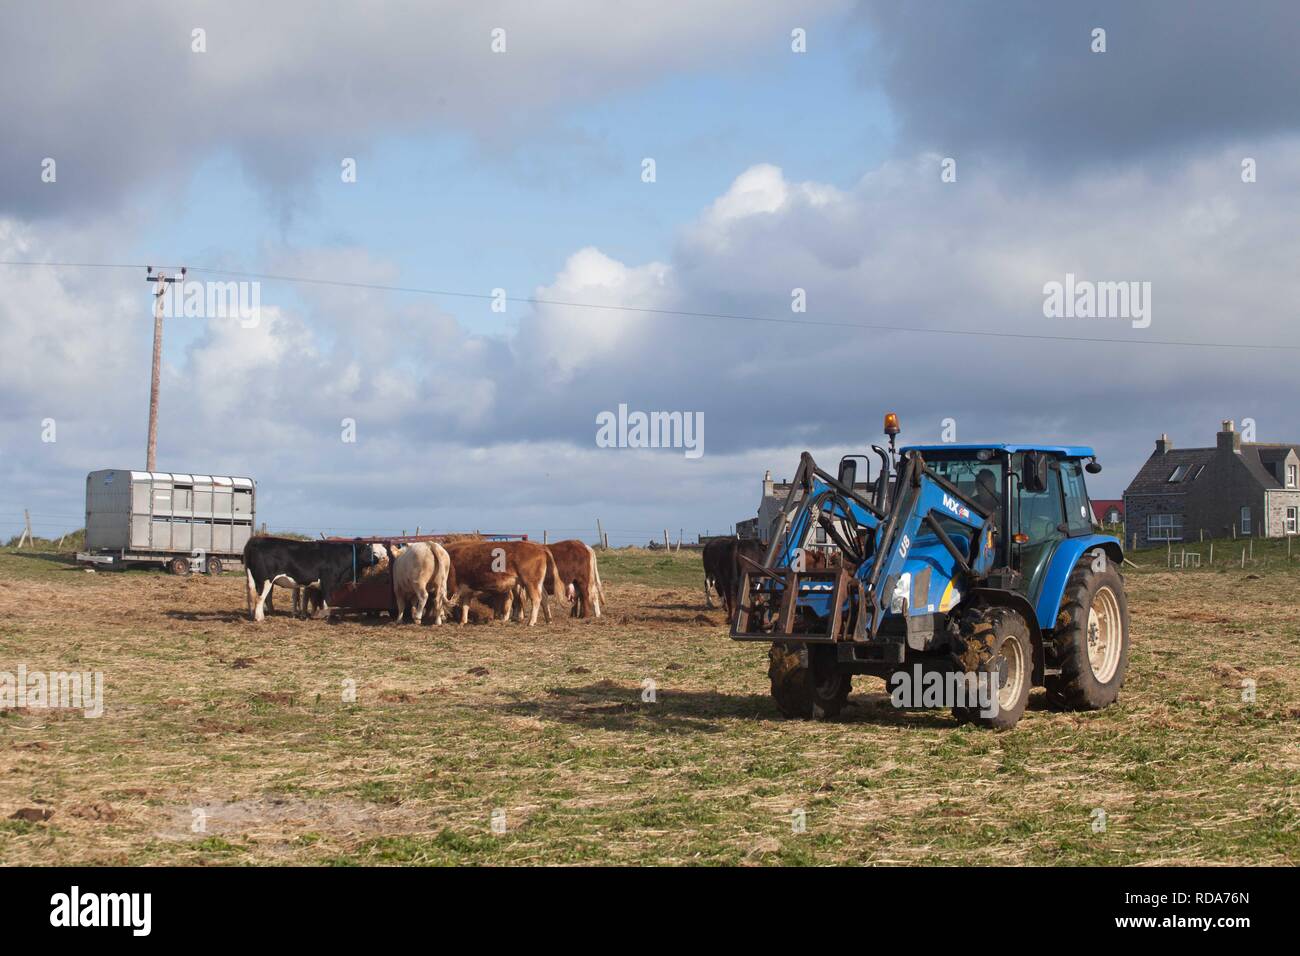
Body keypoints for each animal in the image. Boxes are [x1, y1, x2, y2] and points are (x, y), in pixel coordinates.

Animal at [243, 537, 380, 622]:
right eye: (368, 550)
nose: (377, 559)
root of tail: (256, 539)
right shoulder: (328, 581)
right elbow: (328, 599)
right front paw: (327, 616)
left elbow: (322, 601)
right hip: (264, 580)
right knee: (260, 597)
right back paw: (260, 618)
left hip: (254, 579)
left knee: (259, 596)